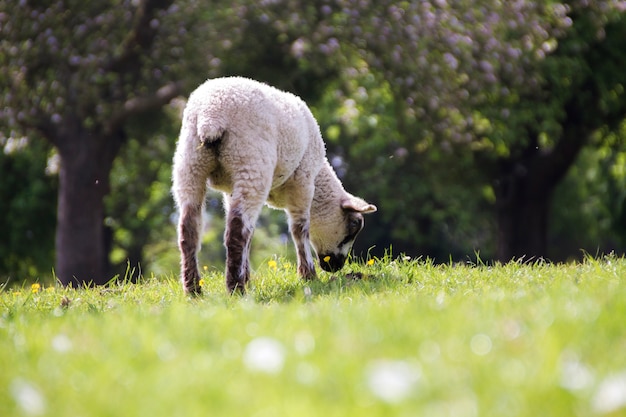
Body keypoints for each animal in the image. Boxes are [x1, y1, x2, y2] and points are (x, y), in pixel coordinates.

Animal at [171, 76, 376, 294]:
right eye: (353, 227)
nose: (335, 267)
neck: (319, 176)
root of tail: (210, 116)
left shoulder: (230, 189)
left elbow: (251, 232)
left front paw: (248, 277)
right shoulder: (303, 179)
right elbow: (299, 228)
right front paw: (308, 275)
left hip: (190, 164)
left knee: (189, 229)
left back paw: (194, 290)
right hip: (251, 163)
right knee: (236, 230)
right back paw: (235, 288)